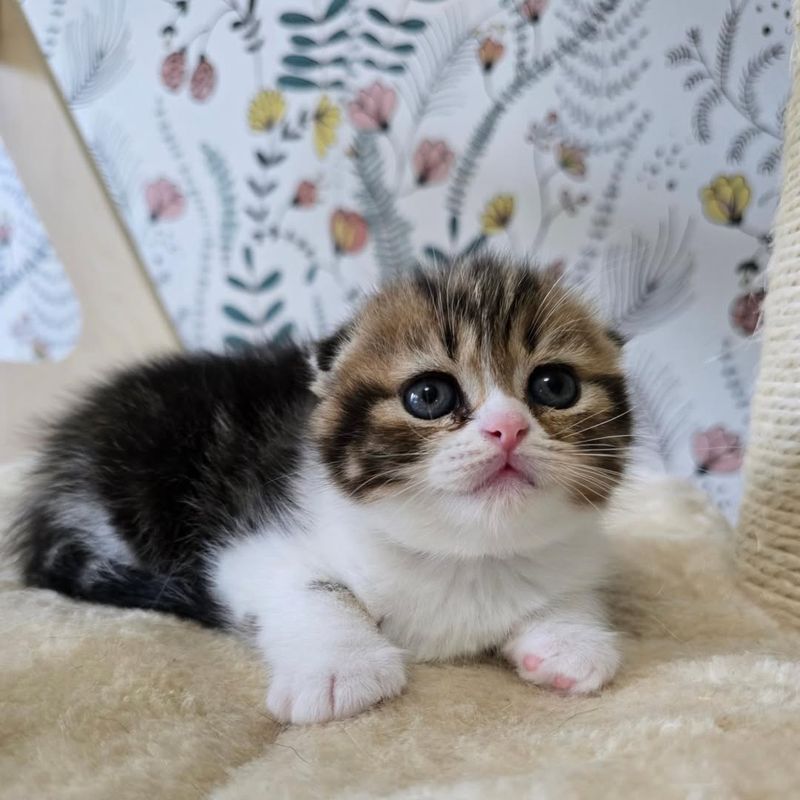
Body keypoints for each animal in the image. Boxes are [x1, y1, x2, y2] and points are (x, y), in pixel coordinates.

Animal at [7, 256, 632, 724]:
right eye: (429, 395)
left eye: (554, 385)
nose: (508, 428)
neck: (465, 558)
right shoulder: (249, 546)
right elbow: (314, 587)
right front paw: (342, 669)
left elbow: (570, 589)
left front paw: (571, 640)